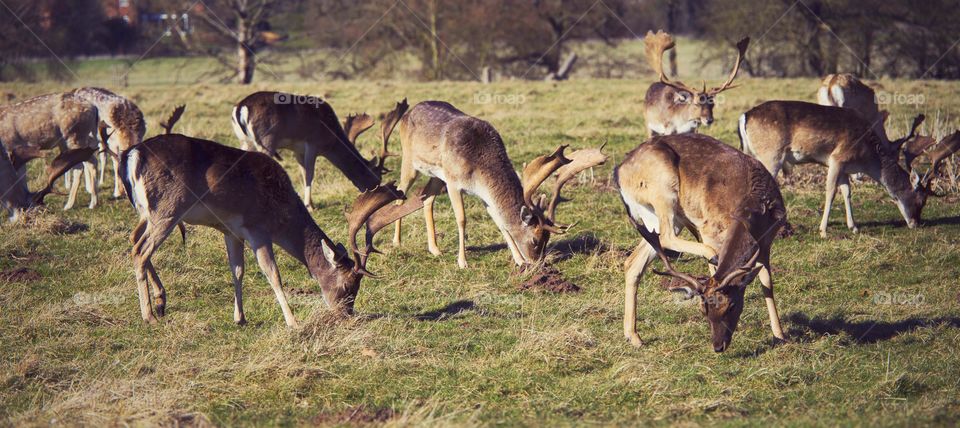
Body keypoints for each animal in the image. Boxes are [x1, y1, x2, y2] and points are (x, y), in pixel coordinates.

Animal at [117, 133, 421, 326]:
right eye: (348, 285)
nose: (345, 315)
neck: (280, 217)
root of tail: (132, 155)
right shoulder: (257, 228)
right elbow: (272, 273)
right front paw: (293, 322)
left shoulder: (230, 231)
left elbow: (237, 270)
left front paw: (240, 318)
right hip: (168, 209)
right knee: (140, 251)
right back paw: (149, 316)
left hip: (148, 212)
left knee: (133, 239)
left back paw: (161, 301)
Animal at [230, 91, 390, 210]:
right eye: (377, 177)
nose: (374, 195)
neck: (330, 140)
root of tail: (240, 108)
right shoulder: (312, 143)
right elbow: (309, 174)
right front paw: (310, 206)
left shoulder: (297, 151)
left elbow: (303, 172)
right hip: (267, 140)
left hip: (245, 141)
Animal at [388, 100, 607, 269]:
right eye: (535, 239)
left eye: (547, 239)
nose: (538, 263)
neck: (478, 169)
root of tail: (408, 113)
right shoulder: (453, 182)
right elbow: (462, 219)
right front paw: (462, 262)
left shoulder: (483, 195)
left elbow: (501, 223)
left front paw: (518, 260)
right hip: (409, 161)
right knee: (400, 195)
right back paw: (397, 242)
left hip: (436, 175)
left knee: (427, 198)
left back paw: (434, 249)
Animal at [615, 132, 787, 352]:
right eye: (704, 310)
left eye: (732, 306)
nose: (718, 346)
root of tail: (620, 173)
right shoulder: (708, 230)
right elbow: (718, 271)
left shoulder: (766, 244)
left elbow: (767, 283)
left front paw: (780, 335)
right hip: (664, 189)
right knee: (665, 237)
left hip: (660, 219)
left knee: (634, 262)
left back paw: (634, 336)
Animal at [738, 100, 932, 237]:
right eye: (922, 200)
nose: (916, 223)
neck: (866, 158)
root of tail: (744, 116)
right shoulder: (837, 158)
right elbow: (831, 191)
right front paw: (823, 231)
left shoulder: (845, 167)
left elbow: (847, 191)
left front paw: (854, 227)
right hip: (771, 155)